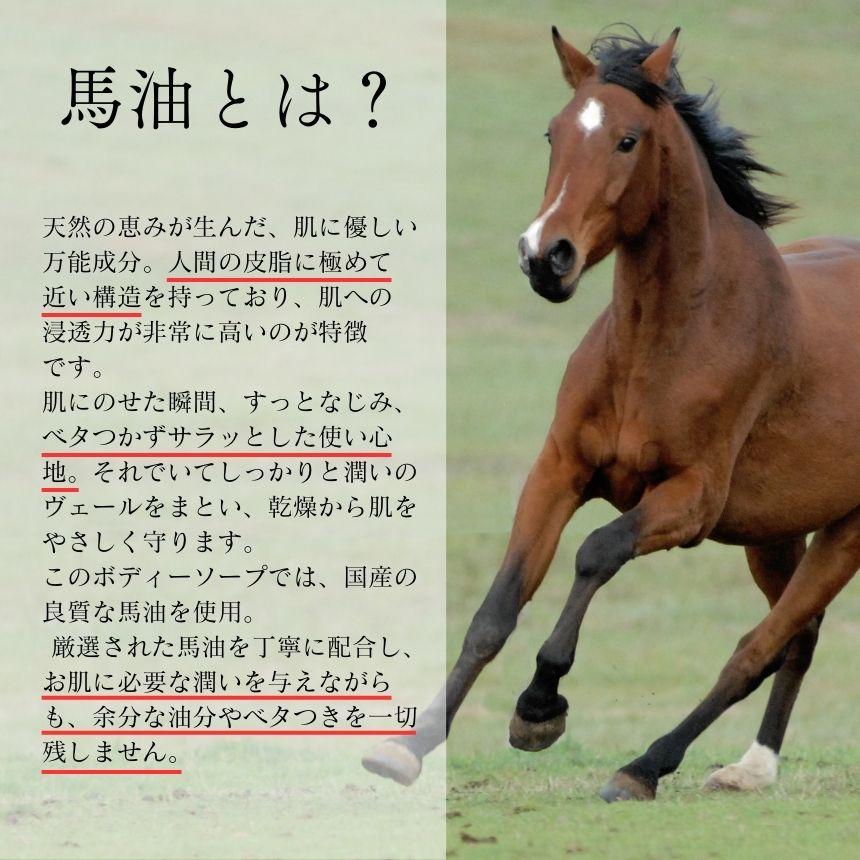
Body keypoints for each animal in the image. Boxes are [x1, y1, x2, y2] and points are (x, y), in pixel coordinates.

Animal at [363, 26, 860, 801]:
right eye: (554, 132)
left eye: (628, 140)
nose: (545, 257)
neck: (665, 339)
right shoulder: (559, 470)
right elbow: (494, 611)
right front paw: (406, 748)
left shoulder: (689, 501)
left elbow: (596, 552)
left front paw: (539, 707)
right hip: (774, 533)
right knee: (797, 638)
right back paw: (750, 767)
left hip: (843, 535)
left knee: (759, 647)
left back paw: (645, 766)